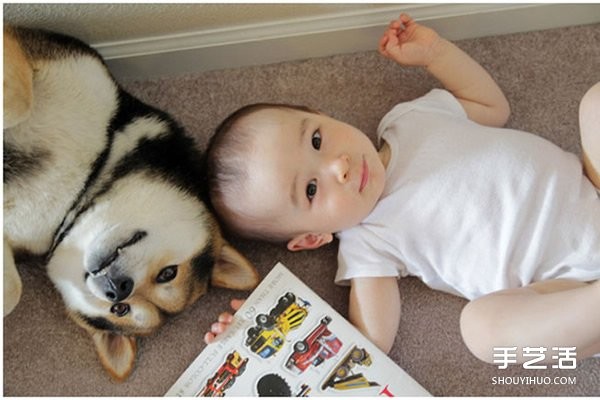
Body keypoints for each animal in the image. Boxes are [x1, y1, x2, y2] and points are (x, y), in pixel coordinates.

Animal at [2, 25, 260, 382]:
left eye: (119, 309)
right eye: (169, 273)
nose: (118, 288)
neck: (80, 190)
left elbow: (12, 291)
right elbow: (18, 102)